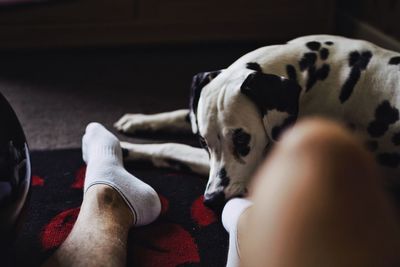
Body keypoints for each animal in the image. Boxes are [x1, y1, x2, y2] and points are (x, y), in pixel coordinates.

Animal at [114, 35, 400, 211]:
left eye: (242, 139)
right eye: (203, 141)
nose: (212, 200)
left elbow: (173, 147)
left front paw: (125, 147)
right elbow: (185, 117)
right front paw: (137, 122)